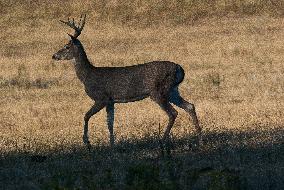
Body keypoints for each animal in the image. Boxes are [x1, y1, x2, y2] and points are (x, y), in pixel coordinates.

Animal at [51, 14, 202, 149]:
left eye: (66, 46)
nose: (54, 56)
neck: (87, 76)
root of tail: (180, 68)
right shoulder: (111, 101)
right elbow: (110, 123)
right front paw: (112, 145)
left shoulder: (101, 98)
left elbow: (86, 116)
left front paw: (87, 142)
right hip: (172, 90)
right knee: (190, 106)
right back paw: (198, 137)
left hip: (158, 90)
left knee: (173, 113)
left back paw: (163, 141)